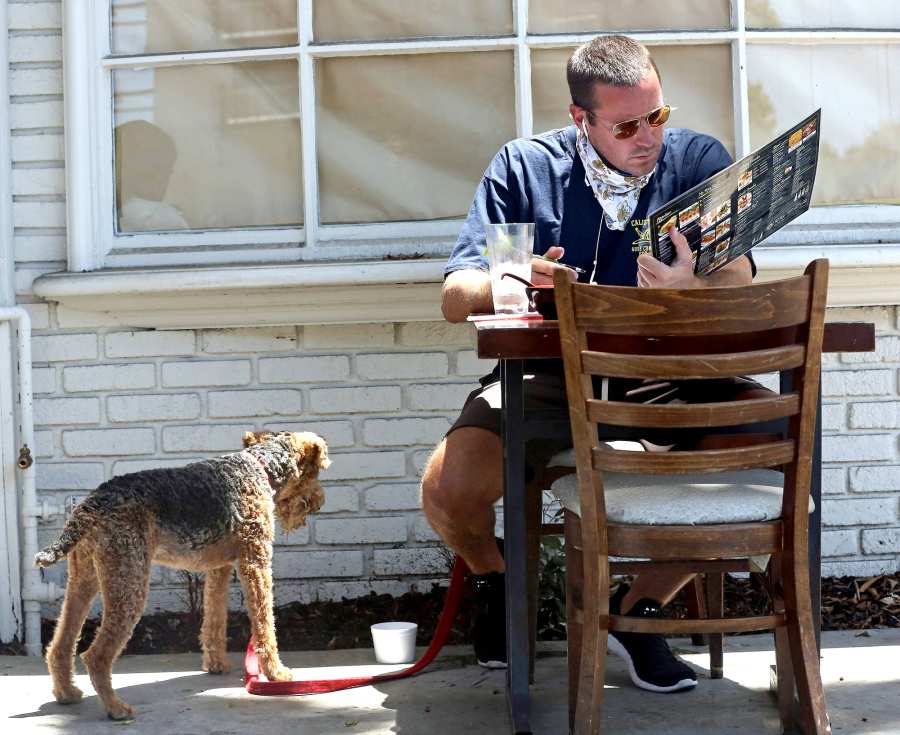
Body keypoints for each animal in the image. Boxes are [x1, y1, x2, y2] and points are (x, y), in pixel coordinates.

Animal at [36, 428, 330, 720]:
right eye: (314, 473)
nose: (318, 501)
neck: (260, 466)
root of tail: (89, 506)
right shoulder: (256, 561)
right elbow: (265, 623)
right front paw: (276, 673)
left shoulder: (219, 567)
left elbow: (215, 619)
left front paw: (216, 664)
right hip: (128, 580)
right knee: (95, 655)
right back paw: (117, 708)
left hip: (85, 578)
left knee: (60, 644)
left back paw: (67, 693)